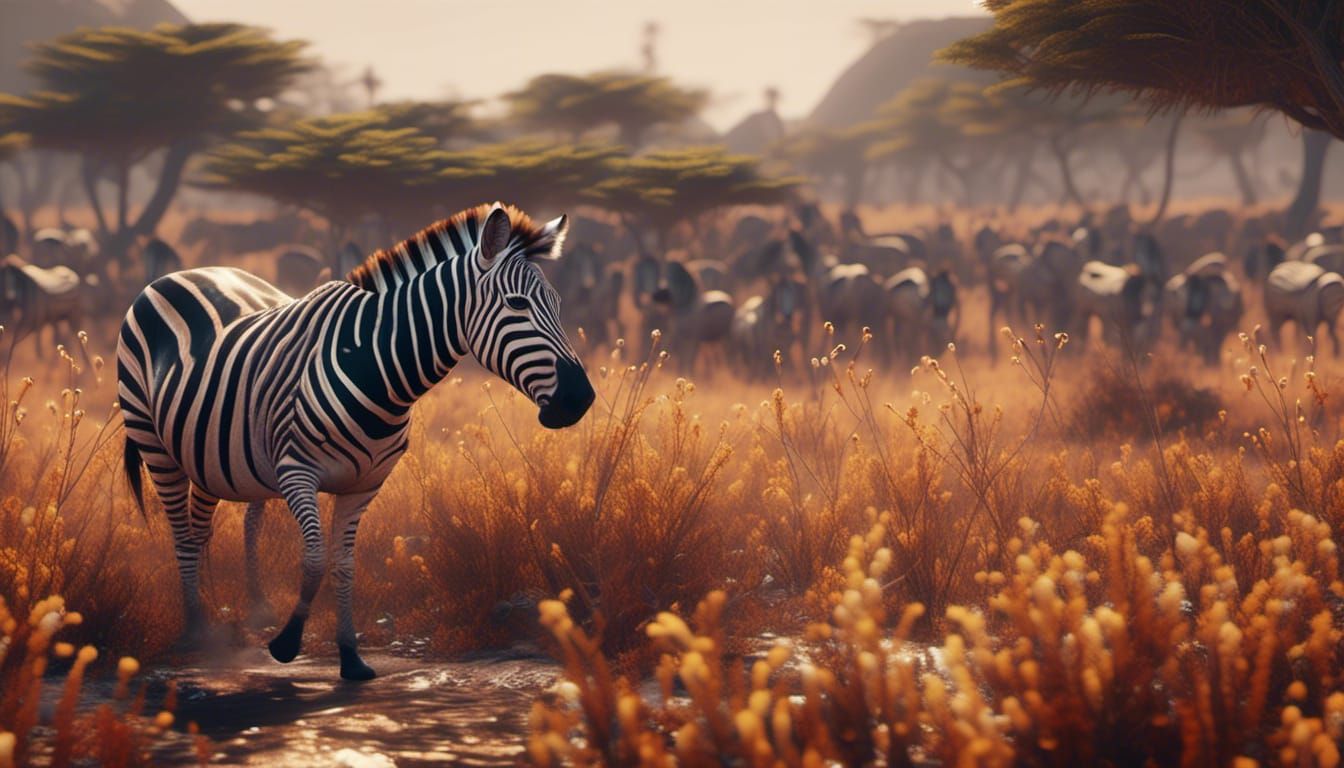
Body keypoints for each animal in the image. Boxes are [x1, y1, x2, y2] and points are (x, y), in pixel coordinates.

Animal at [117, 202, 594, 680]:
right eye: (517, 304)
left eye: (557, 304)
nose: (581, 399)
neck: (376, 369)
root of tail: (181, 272)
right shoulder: (296, 473)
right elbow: (314, 559)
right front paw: (287, 643)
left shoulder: (364, 484)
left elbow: (345, 565)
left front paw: (350, 656)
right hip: (154, 443)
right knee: (182, 533)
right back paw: (196, 629)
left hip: (206, 453)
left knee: (200, 528)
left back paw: (216, 617)